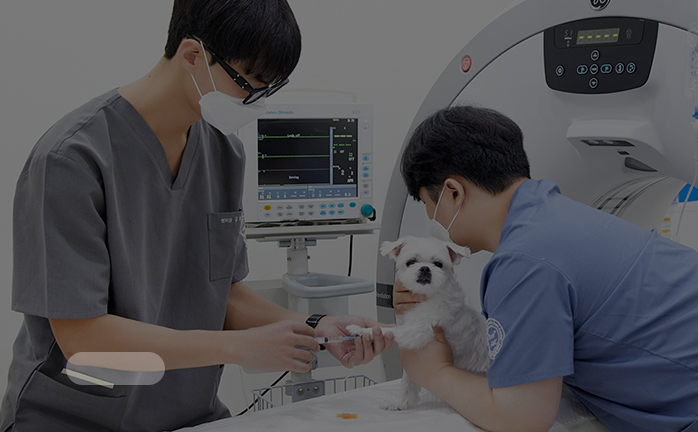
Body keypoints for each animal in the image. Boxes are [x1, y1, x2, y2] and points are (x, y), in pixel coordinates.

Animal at [347, 236, 489, 410]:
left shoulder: (418, 331)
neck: (427, 297)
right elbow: (408, 383)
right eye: (411, 262)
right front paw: (400, 404)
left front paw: (361, 329)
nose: (425, 269)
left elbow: (386, 330)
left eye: (438, 264)